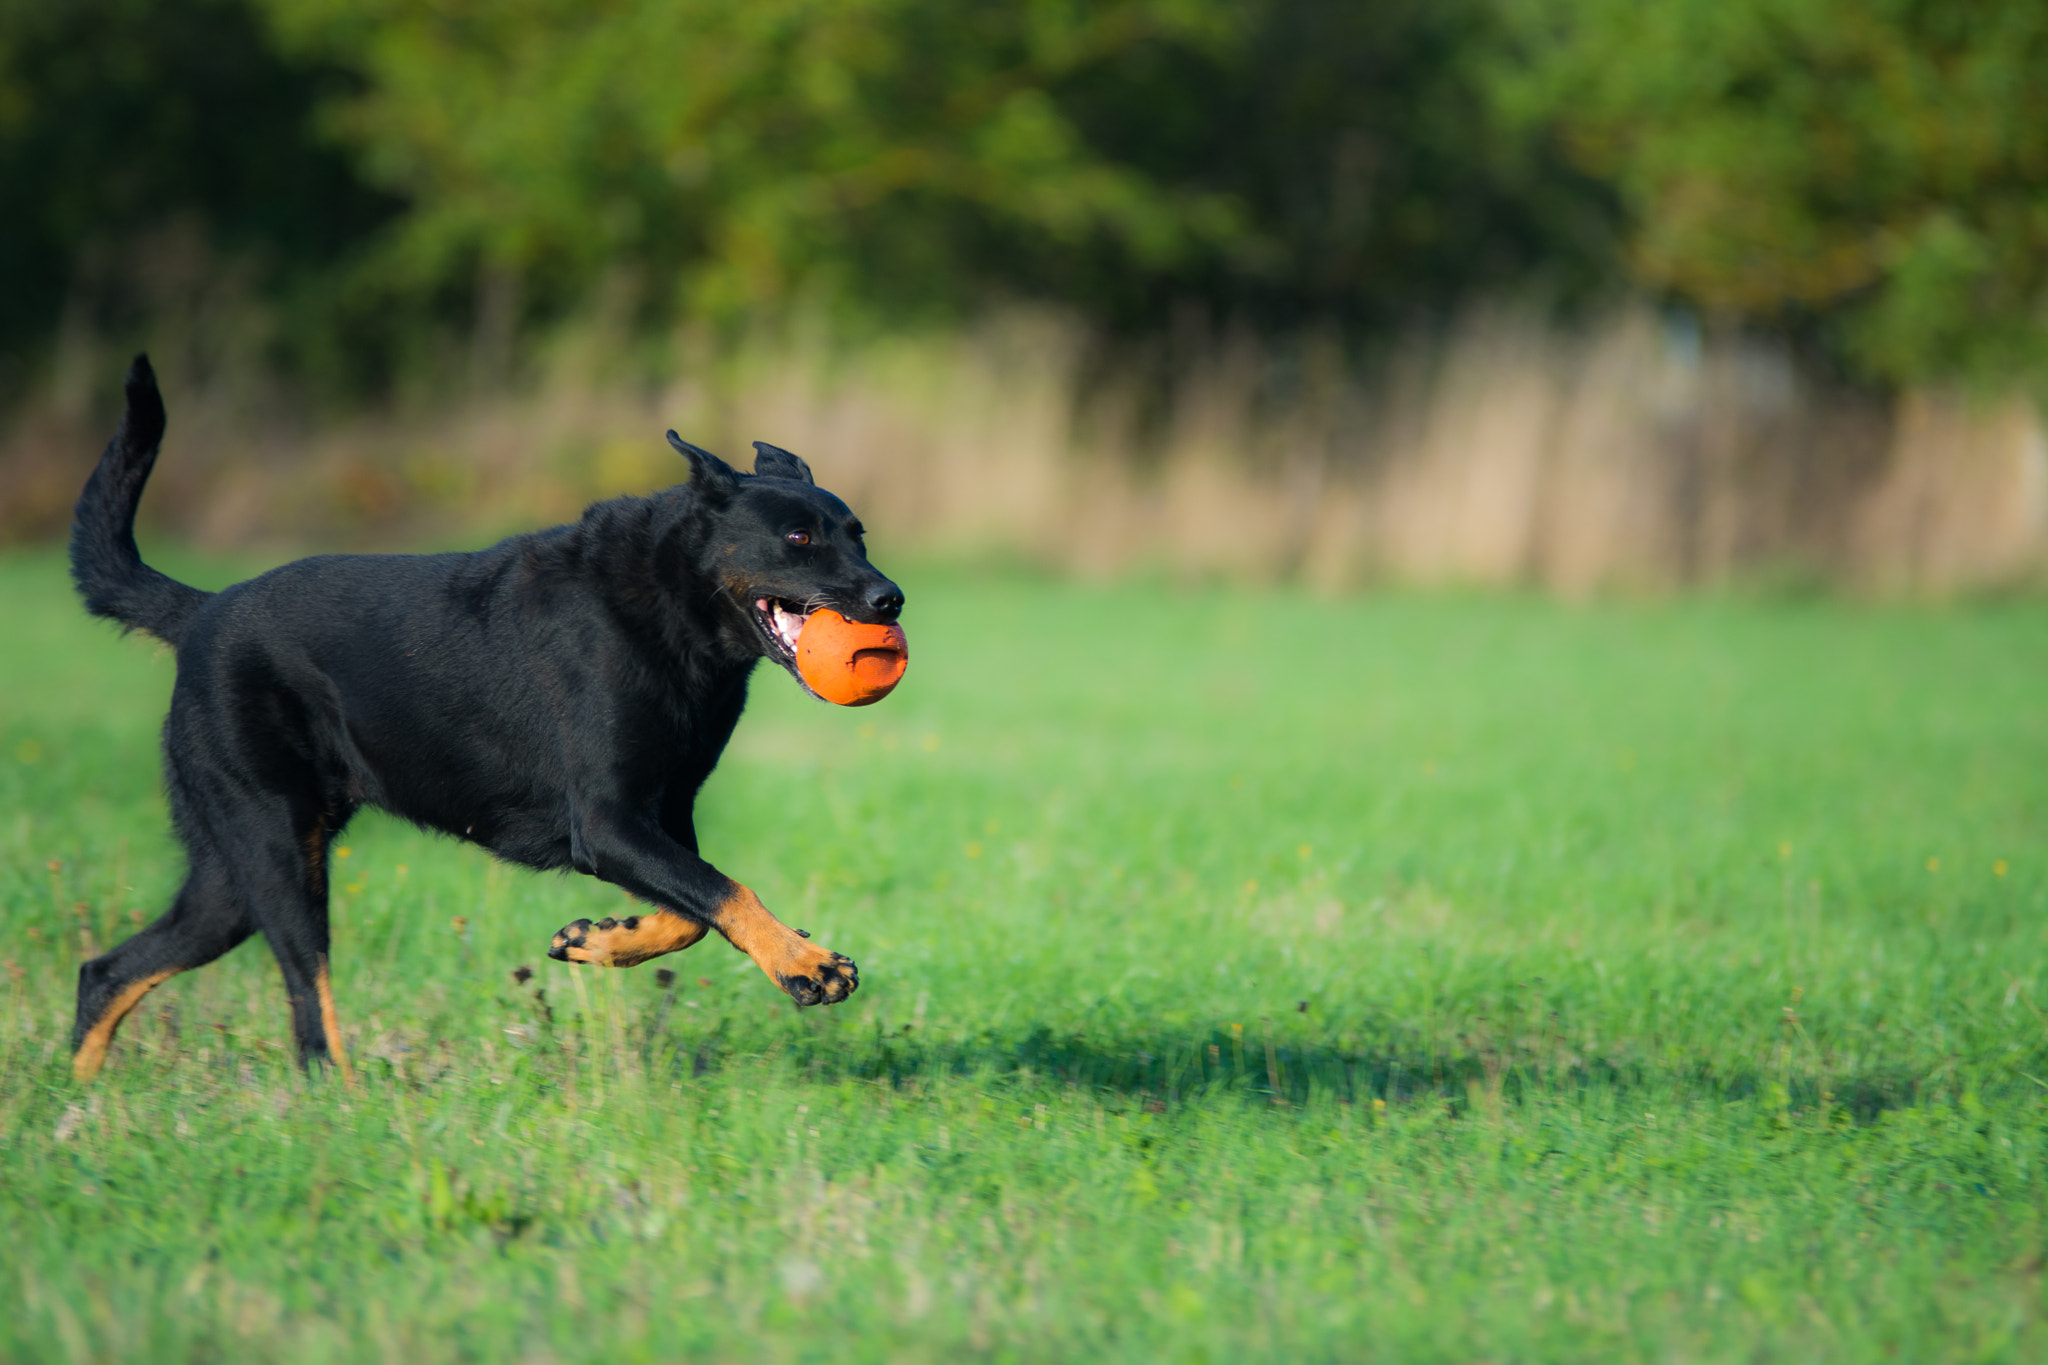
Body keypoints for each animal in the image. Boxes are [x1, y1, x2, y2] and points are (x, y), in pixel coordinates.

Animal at [68, 358, 901, 1080]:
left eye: (858, 532)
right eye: (798, 537)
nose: (889, 599)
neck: (672, 605)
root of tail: (201, 612)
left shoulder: (665, 812)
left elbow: (694, 907)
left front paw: (598, 941)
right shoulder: (606, 822)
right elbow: (725, 891)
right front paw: (807, 965)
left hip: (231, 877)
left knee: (106, 971)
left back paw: (79, 1099)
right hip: (275, 851)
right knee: (308, 1003)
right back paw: (342, 1098)